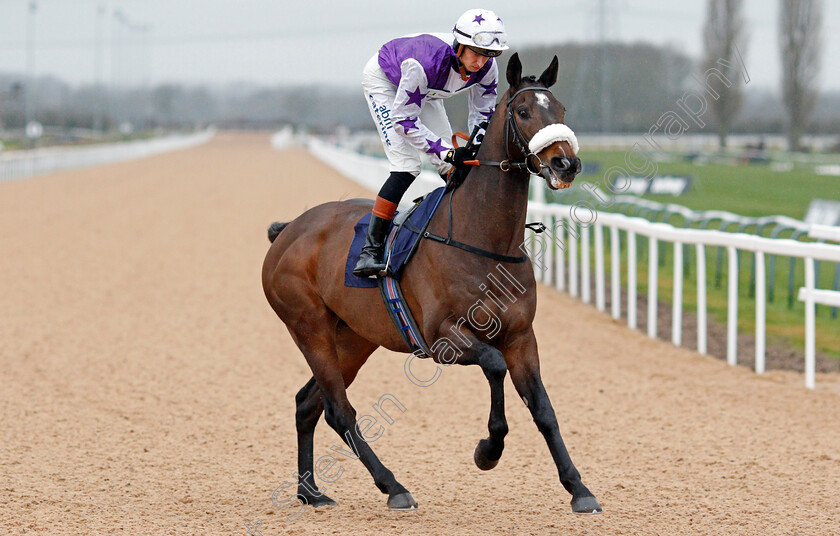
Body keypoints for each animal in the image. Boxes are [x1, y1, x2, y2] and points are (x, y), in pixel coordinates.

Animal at [266, 53, 600, 516]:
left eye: (562, 109)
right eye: (522, 111)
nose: (565, 163)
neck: (483, 241)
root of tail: (288, 231)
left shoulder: (521, 336)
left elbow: (543, 409)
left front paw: (578, 487)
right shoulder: (443, 337)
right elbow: (493, 366)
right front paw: (488, 450)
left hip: (353, 338)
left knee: (307, 404)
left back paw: (311, 491)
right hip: (308, 327)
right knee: (338, 410)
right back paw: (392, 486)